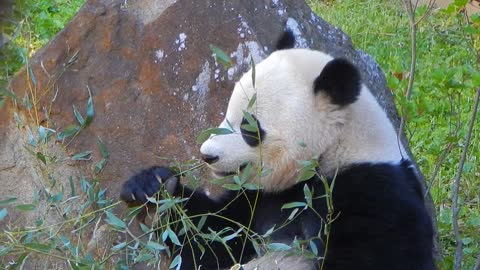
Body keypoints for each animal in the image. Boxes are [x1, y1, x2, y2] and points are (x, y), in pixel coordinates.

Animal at [120, 30, 436, 268]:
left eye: (249, 128)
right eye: (226, 115)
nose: (207, 155)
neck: (334, 150)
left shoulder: (371, 189)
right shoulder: (258, 199)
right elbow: (213, 238)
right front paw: (154, 187)